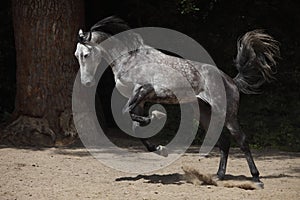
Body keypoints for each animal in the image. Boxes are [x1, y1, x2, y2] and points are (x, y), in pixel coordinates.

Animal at [74, 16, 280, 185]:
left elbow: (129, 115)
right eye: (77, 55)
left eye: (86, 54)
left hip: (227, 113)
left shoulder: (143, 90)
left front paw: (156, 116)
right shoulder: (140, 100)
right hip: (206, 114)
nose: (86, 82)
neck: (129, 59)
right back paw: (218, 176)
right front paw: (160, 148)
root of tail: (230, 80)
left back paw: (256, 178)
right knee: (224, 142)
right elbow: (136, 128)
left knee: (241, 139)